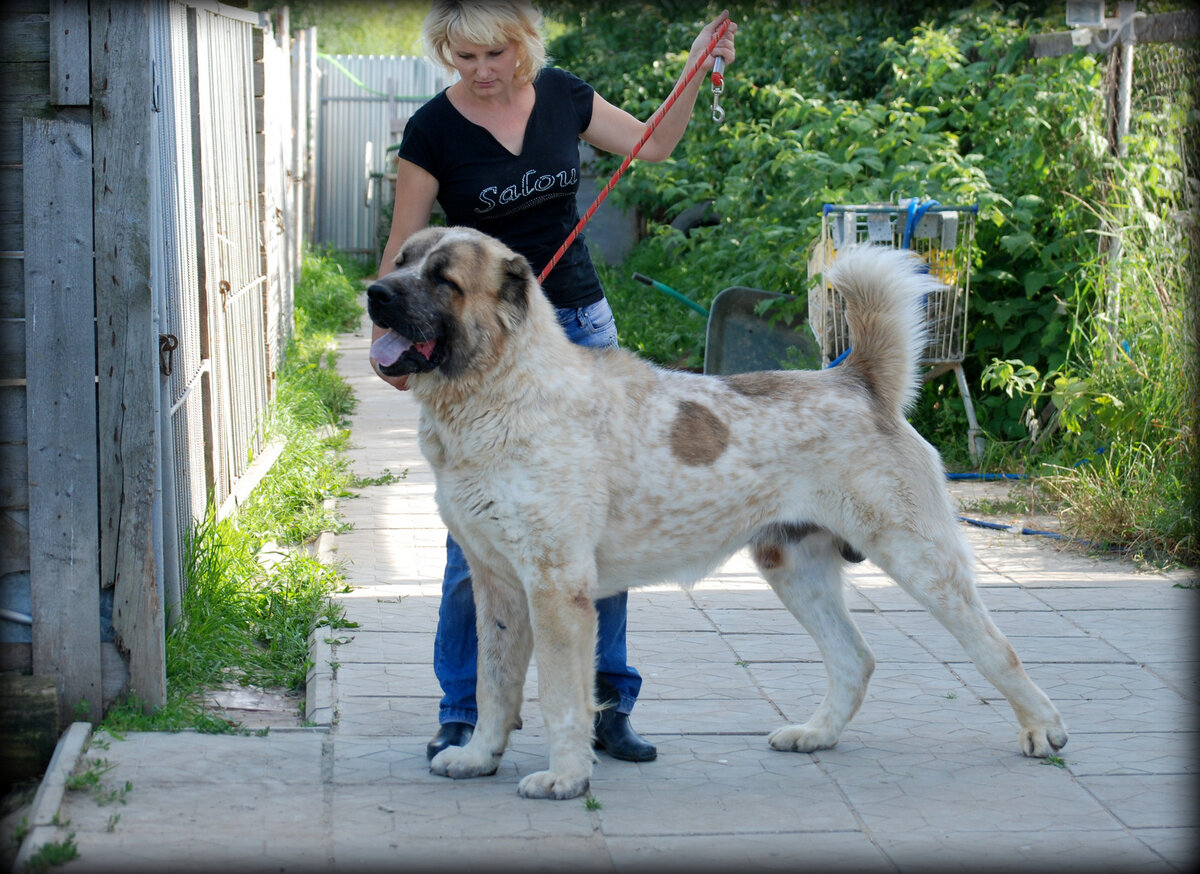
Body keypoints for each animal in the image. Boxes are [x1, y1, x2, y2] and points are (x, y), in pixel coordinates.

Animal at [367, 225, 1070, 797]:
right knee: (856, 659)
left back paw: (1043, 730)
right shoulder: (497, 587)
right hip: (794, 569)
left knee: (997, 650)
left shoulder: (556, 589)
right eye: (401, 261)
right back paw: (815, 734)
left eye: (443, 279)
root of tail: (856, 381)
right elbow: (494, 686)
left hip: (920, 561)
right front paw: (479, 757)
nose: (374, 293)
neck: (498, 392)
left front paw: (565, 777)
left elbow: (560, 697)